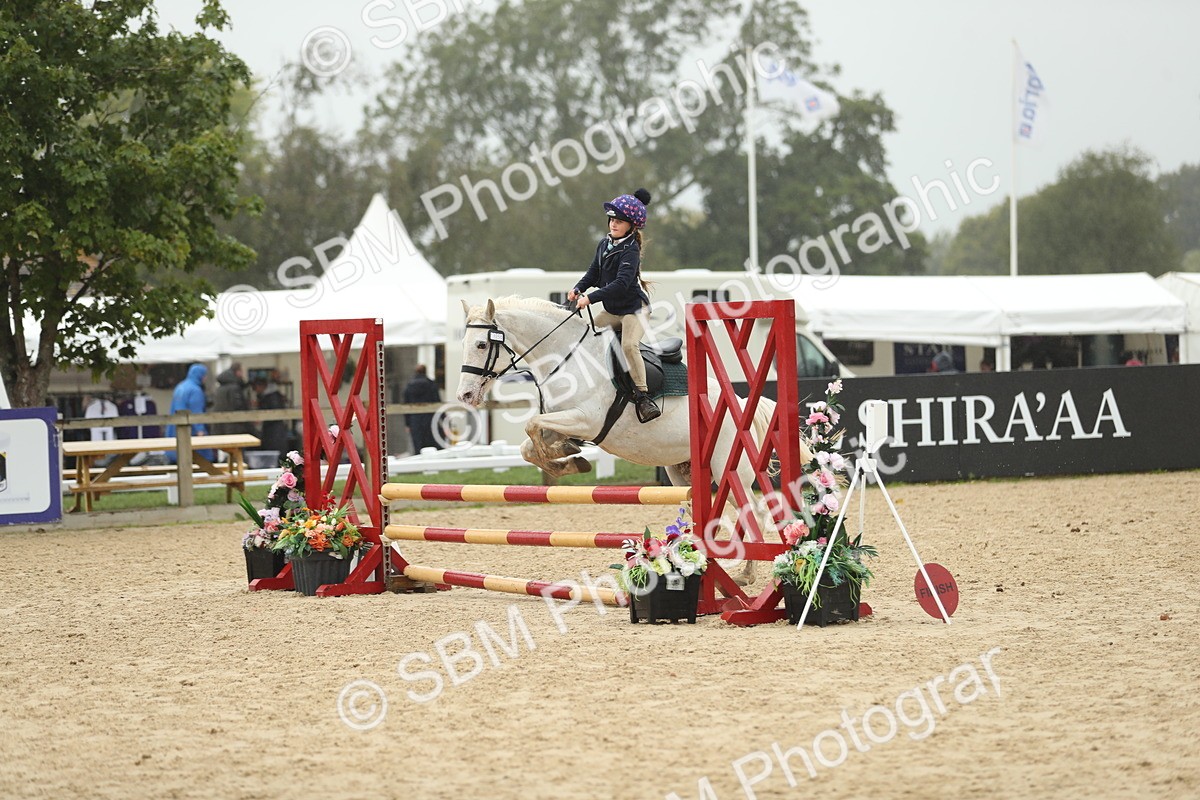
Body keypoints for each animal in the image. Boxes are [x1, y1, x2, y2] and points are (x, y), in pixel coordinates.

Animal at [455, 296, 811, 577]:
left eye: (482, 345)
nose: (465, 395)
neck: (566, 356)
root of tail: (739, 401)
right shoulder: (561, 420)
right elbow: (529, 444)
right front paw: (566, 459)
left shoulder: (587, 420)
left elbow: (531, 426)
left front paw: (565, 457)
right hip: (681, 472)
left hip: (728, 469)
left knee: (754, 512)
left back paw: (747, 575)